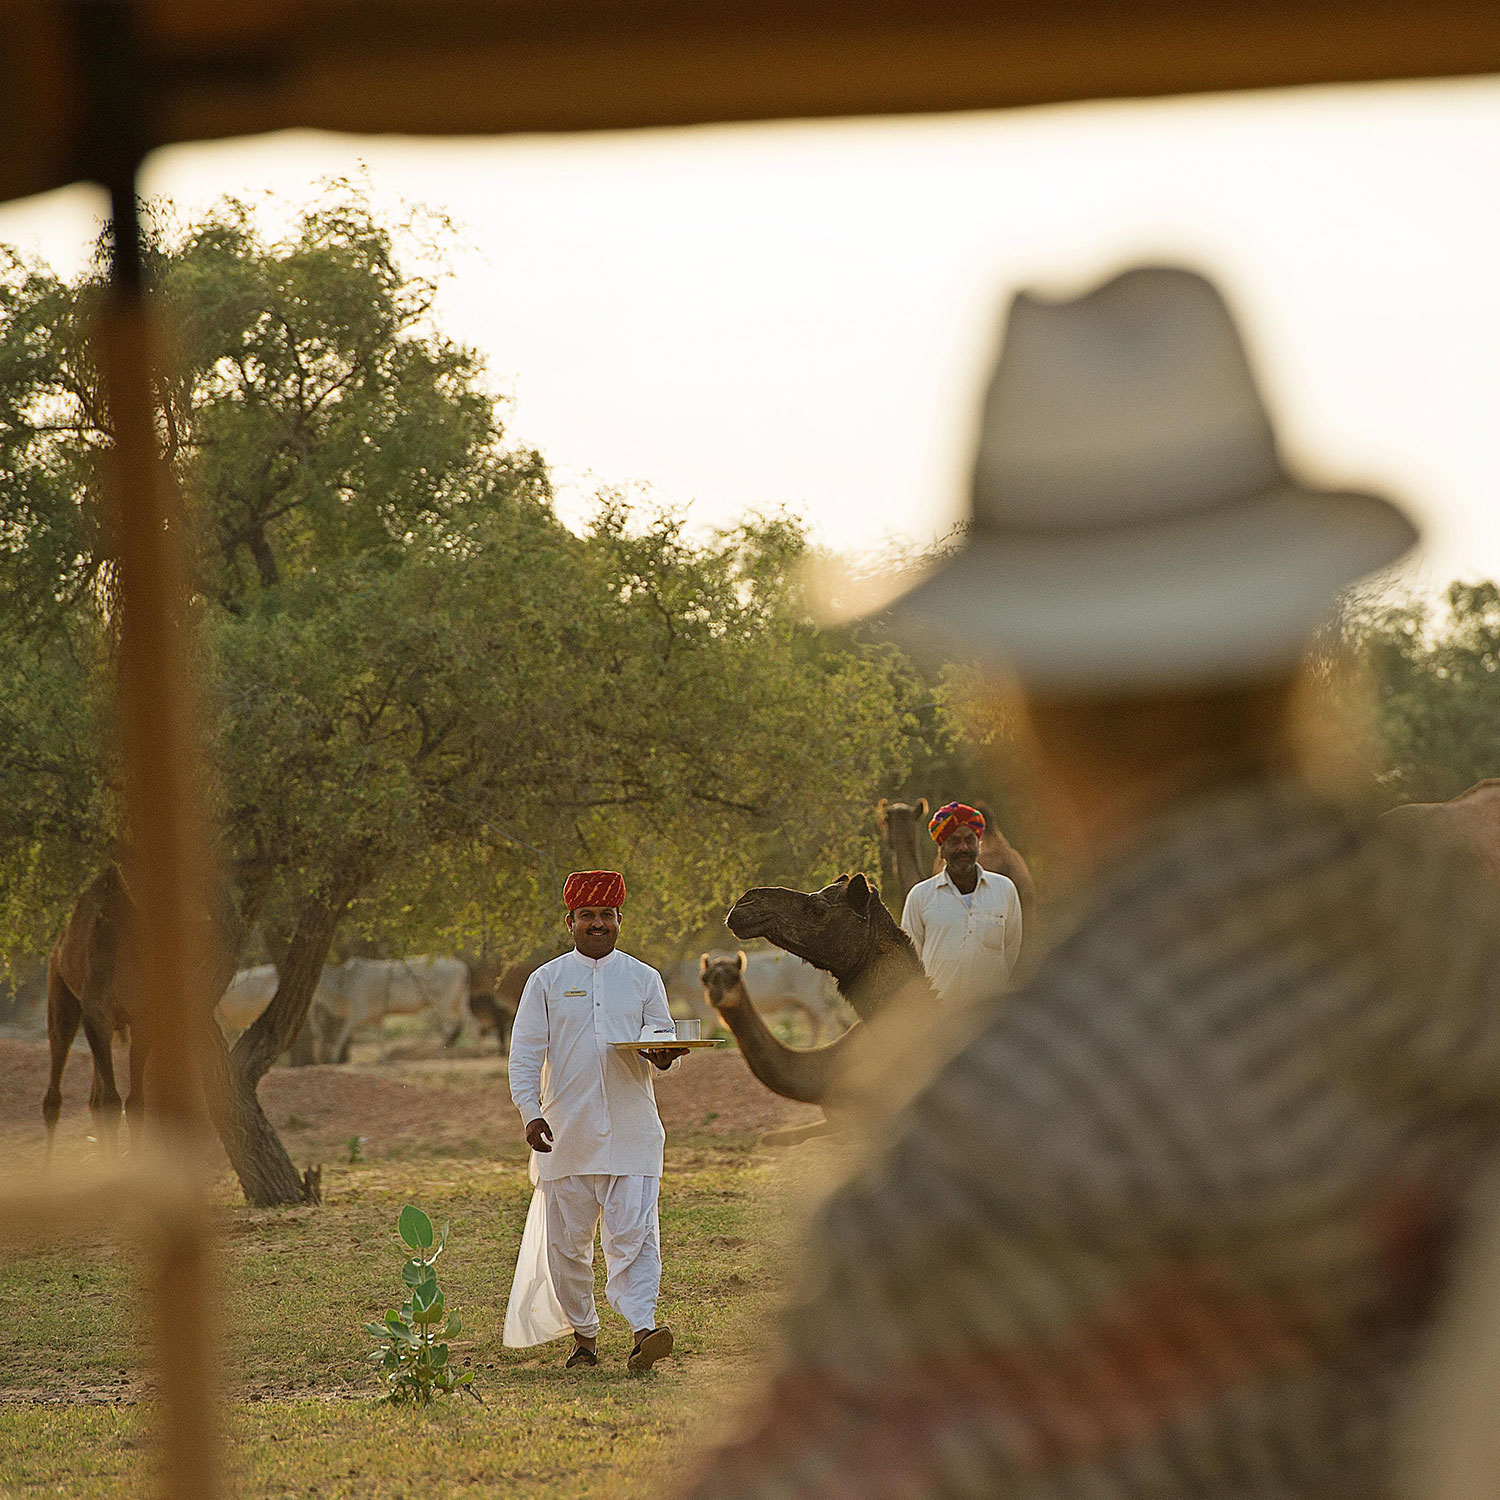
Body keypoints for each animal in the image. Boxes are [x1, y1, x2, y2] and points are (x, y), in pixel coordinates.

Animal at [306, 954, 465, 1062]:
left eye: (315, 979)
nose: (315, 1031)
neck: (345, 981)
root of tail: (461, 966)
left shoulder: (357, 1015)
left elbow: (342, 1035)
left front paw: (333, 1058)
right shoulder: (377, 1018)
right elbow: (380, 1037)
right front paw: (383, 1059)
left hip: (443, 1005)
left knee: (451, 1025)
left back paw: (442, 1053)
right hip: (455, 1004)